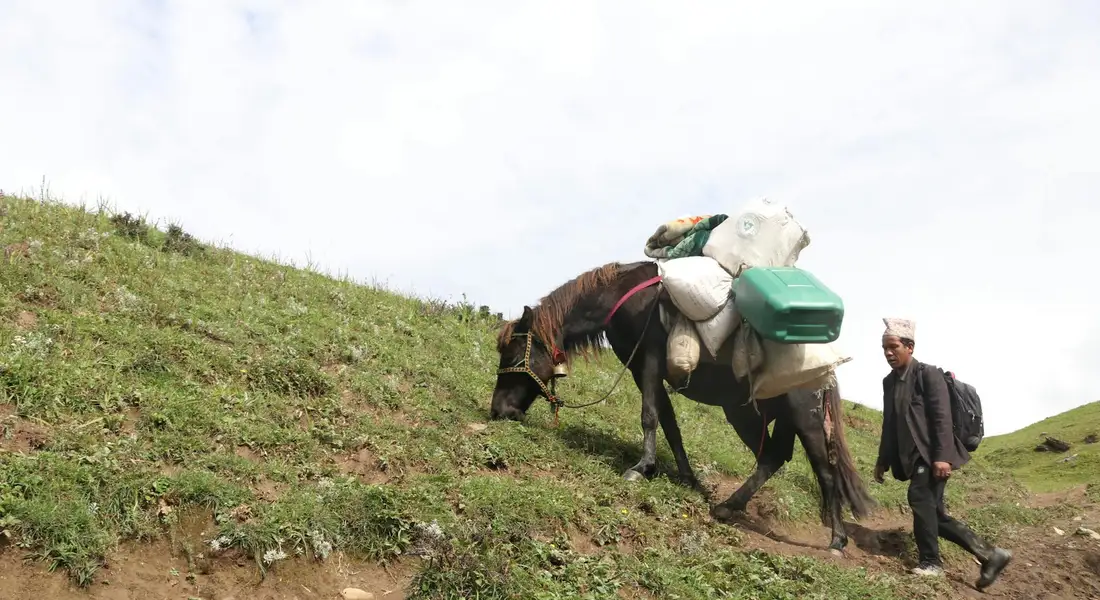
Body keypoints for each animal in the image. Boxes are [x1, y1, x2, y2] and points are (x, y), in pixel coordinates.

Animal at [488, 260, 876, 552]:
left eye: (512, 354)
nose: (498, 410)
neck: (622, 298)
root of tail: (826, 364)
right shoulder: (644, 369)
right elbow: (669, 423)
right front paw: (685, 476)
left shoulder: (648, 363)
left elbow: (648, 416)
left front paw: (640, 468)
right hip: (752, 413)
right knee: (774, 456)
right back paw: (729, 507)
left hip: (802, 414)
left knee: (823, 468)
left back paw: (837, 539)